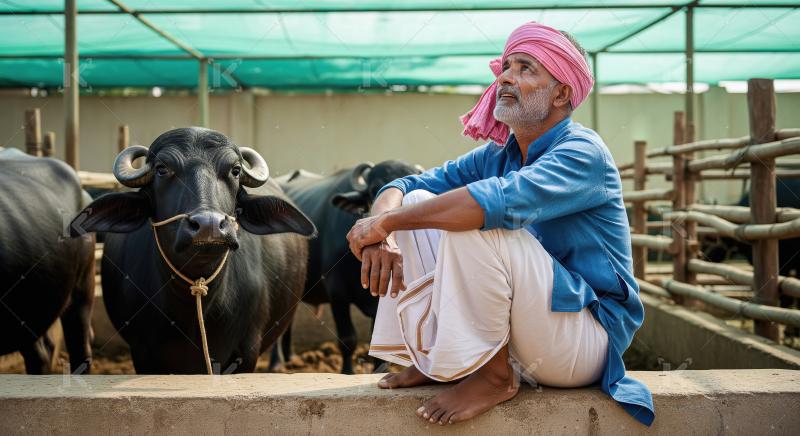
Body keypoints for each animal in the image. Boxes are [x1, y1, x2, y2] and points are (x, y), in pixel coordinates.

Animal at [274, 160, 422, 373]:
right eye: (374, 188)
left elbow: (375, 335)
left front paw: (380, 370)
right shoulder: (337, 294)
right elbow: (348, 338)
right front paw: (347, 371)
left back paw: (291, 359)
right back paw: (277, 363)